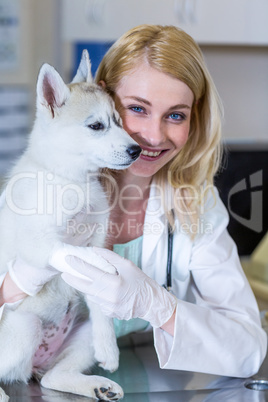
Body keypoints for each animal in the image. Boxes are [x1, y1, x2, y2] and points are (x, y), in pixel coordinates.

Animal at [0, 51, 141, 400]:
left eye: (120, 121)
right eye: (96, 126)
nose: (137, 149)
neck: (74, 180)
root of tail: (35, 365)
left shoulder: (98, 237)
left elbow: (101, 300)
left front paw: (109, 349)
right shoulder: (41, 245)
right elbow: (81, 255)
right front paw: (108, 266)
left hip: (75, 336)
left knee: (51, 378)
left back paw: (98, 385)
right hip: (26, 326)